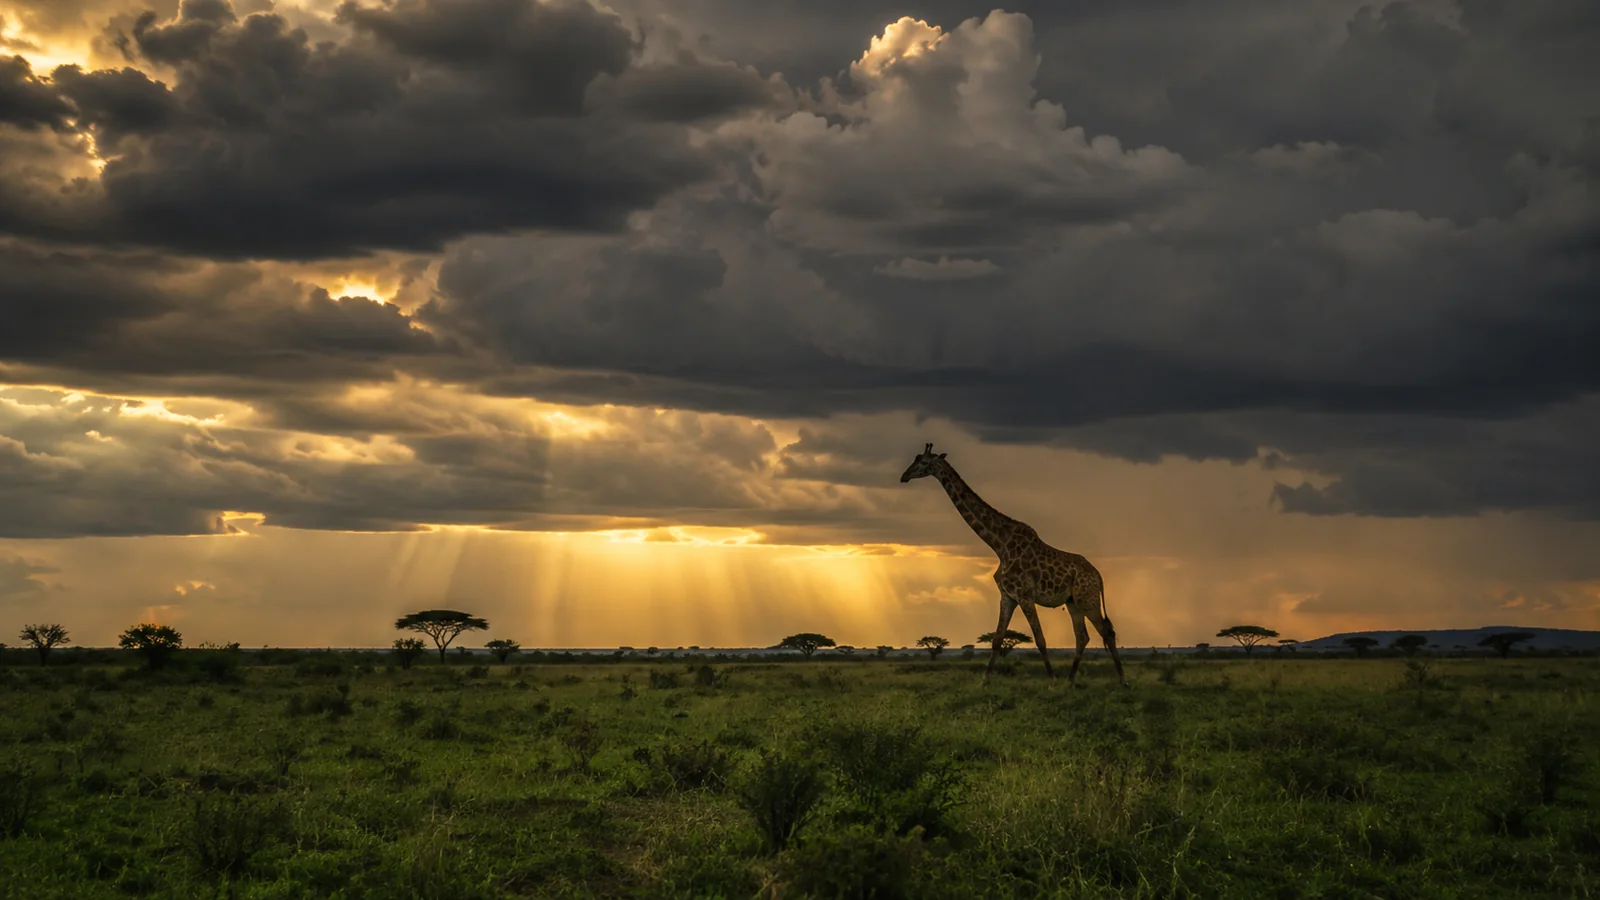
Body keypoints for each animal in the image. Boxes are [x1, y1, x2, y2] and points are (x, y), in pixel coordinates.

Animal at [900, 443, 1128, 687]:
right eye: (915, 458)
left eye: (924, 462)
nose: (904, 476)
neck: (999, 544)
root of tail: (1098, 576)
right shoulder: (1007, 596)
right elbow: (997, 639)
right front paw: (984, 681)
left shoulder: (1024, 595)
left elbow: (1040, 638)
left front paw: (1051, 681)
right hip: (1073, 602)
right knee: (1083, 636)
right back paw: (1070, 680)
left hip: (1088, 599)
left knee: (1106, 632)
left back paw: (1121, 680)